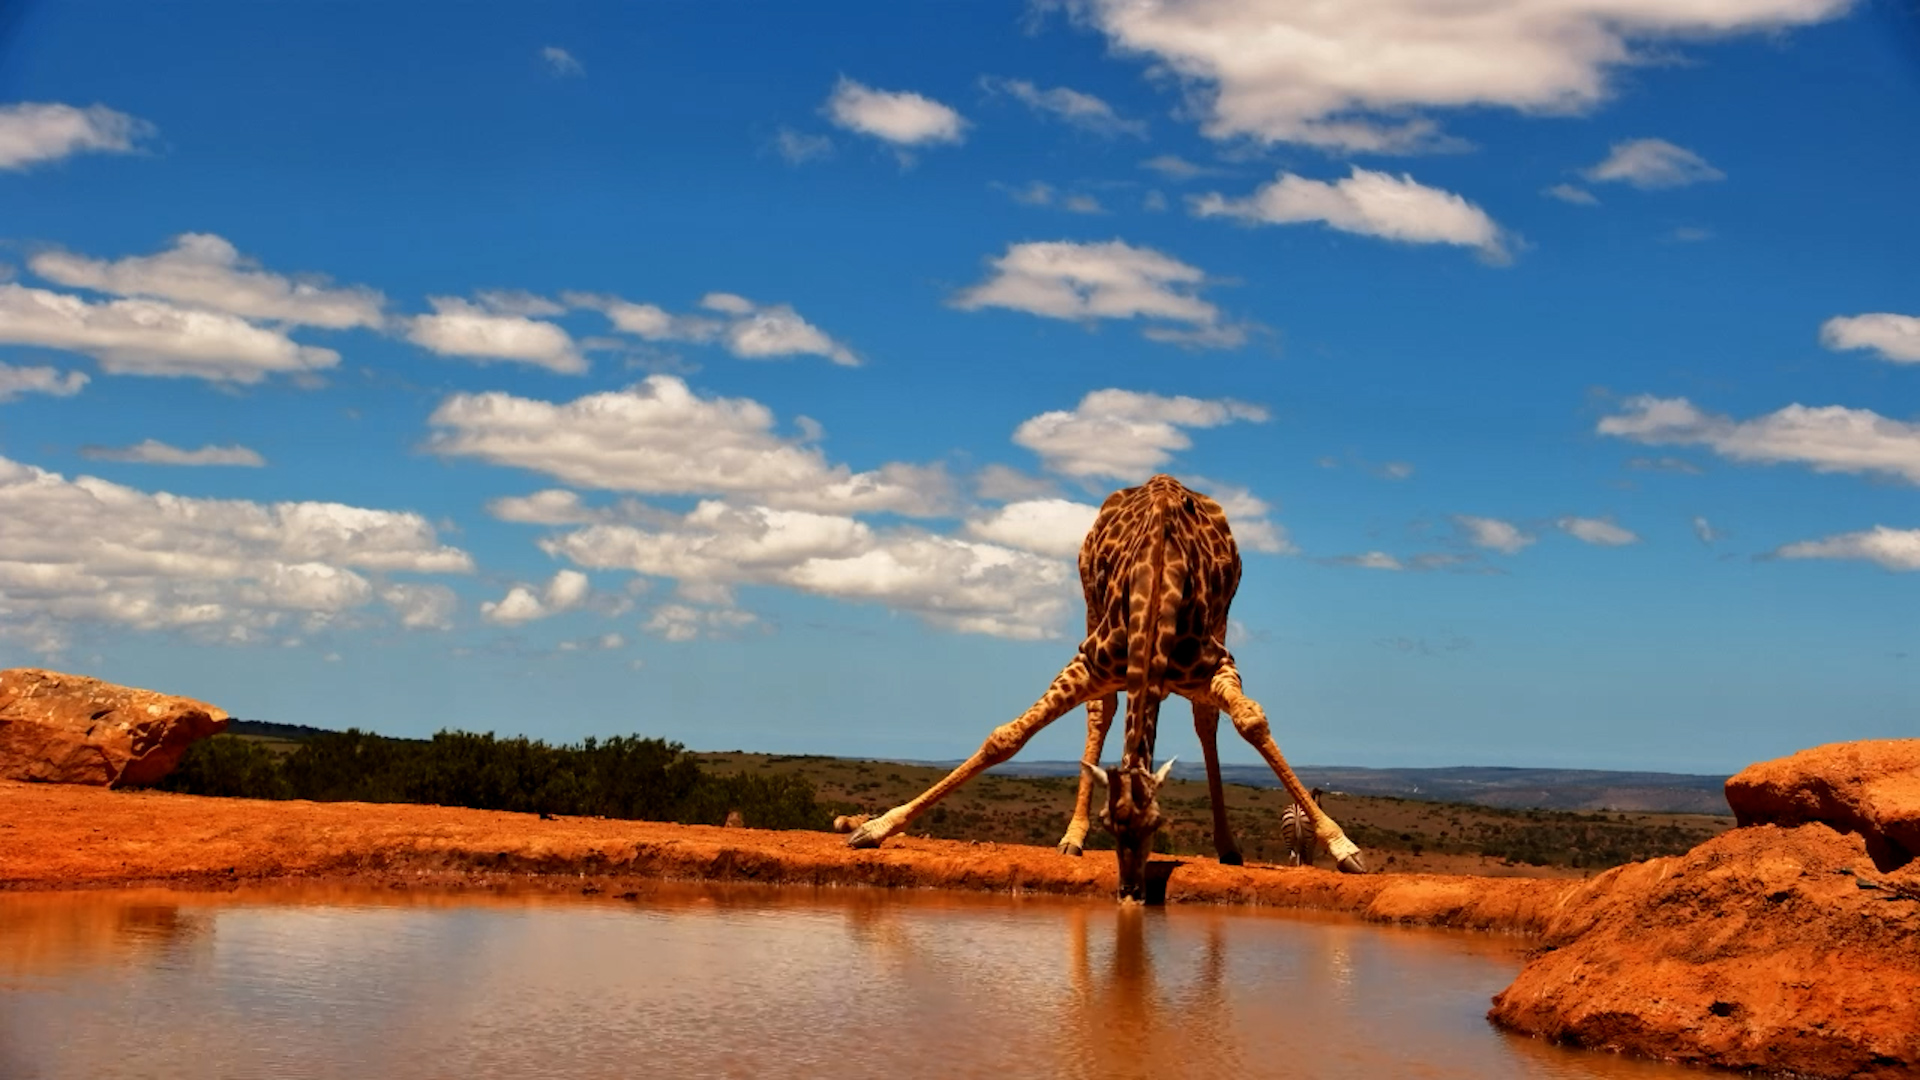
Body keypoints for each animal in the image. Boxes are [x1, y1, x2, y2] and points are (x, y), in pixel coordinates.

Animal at [845, 474, 1366, 898]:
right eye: (1108, 824)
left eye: (1159, 824)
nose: (1130, 891)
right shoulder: (1089, 661)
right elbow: (1006, 737)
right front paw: (874, 829)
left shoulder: (1216, 664)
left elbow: (1251, 722)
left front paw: (1345, 848)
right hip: (1090, 606)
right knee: (1101, 712)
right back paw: (1070, 841)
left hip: (1221, 618)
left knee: (1205, 720)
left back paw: (1228, 847)